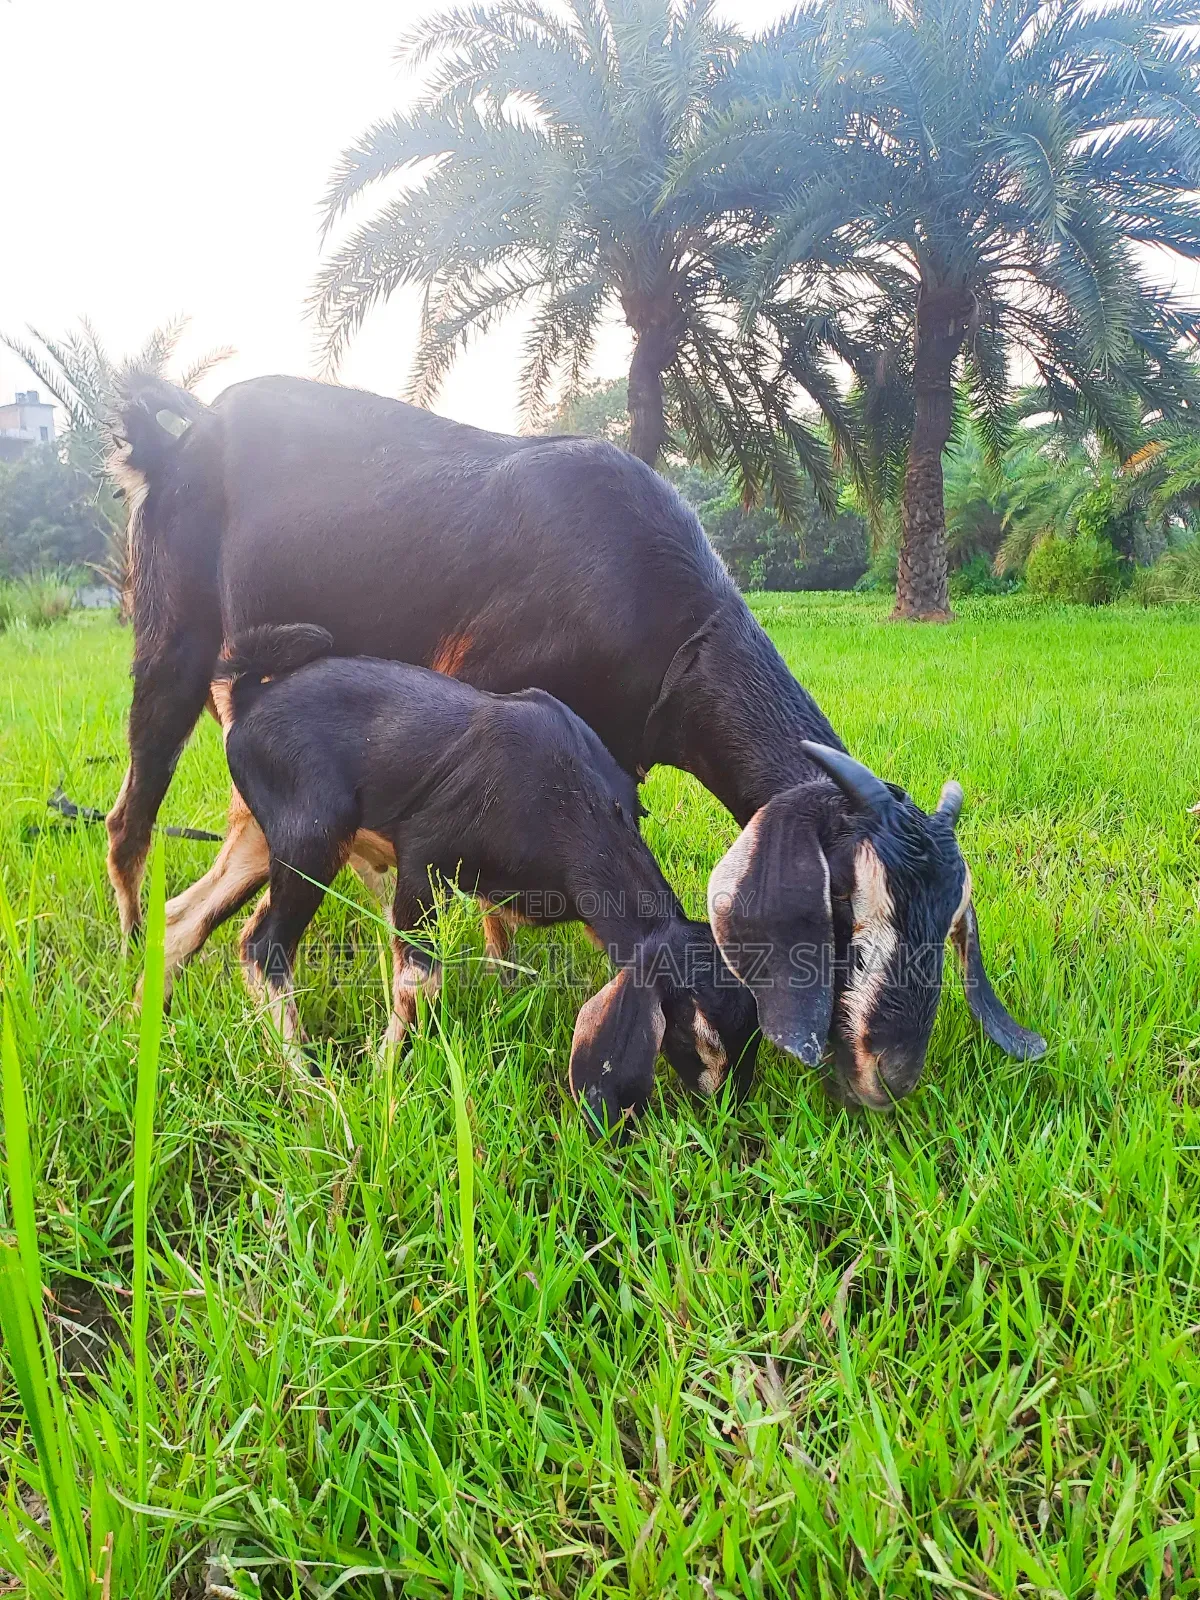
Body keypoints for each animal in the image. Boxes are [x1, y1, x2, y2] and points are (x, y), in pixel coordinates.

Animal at [211, 623, 760, 1131]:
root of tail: (249, 695)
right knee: (262, 946)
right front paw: (385, 1081)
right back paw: (310, 1087)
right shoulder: (423, 863)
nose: (730, 1111)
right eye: (696, 1034)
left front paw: (504, 1003)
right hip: (311, 838)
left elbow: (503, 947)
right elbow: (418, 982)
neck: (568, 797)